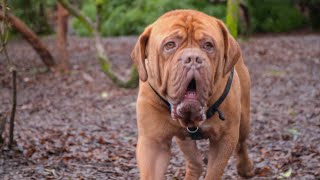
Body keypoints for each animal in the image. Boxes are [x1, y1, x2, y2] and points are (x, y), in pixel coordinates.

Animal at [131, 9, 254, 180]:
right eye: (170, 45)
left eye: (208, 45)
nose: (193, 58)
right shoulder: (153, 142)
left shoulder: (225, 138)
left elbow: (214, 172)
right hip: (183, 138)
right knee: (194, 161)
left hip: (243, 119)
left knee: (241, 143)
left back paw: (245, 168)